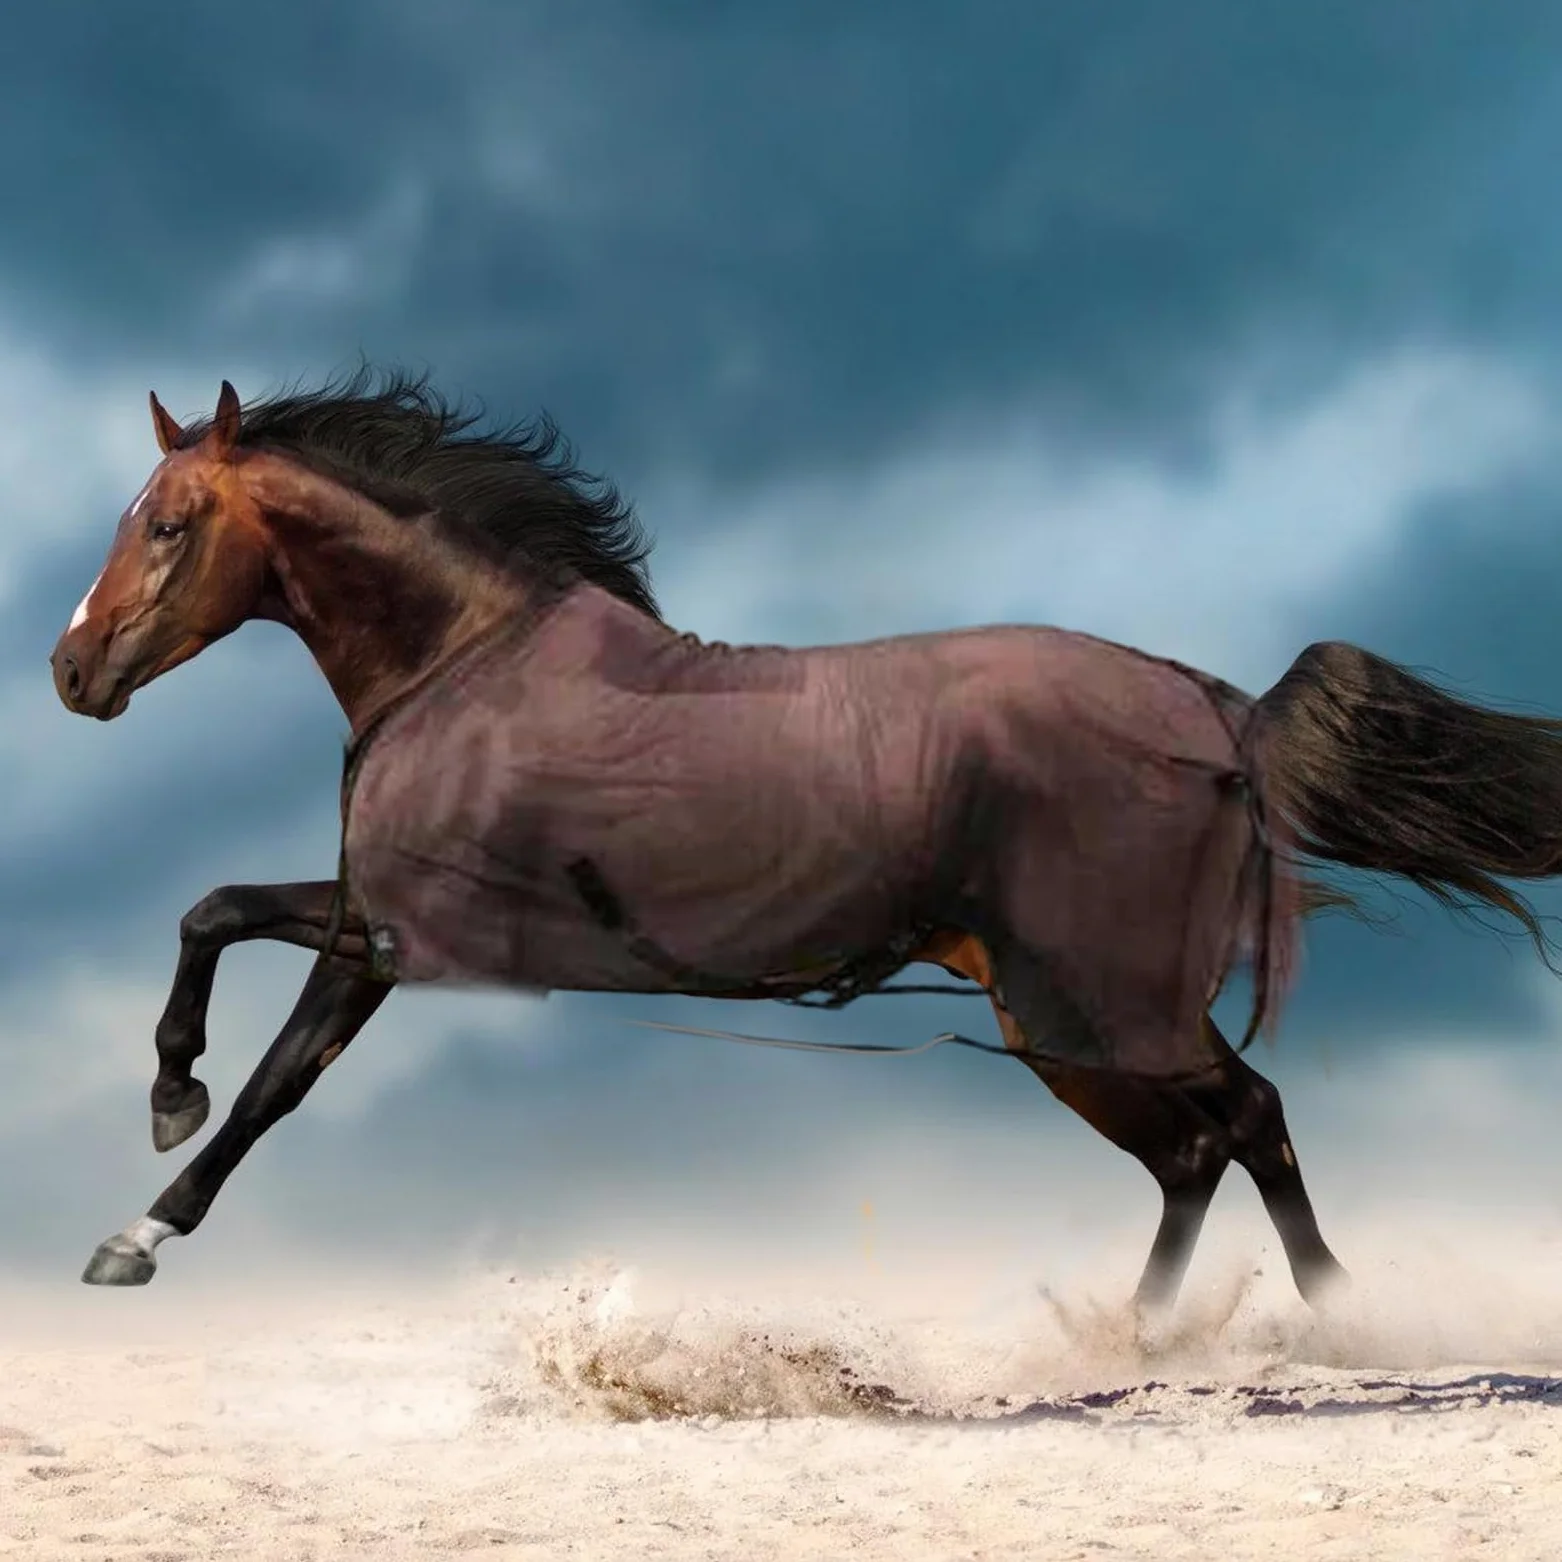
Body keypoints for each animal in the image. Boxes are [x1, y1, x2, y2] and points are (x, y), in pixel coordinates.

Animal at [49, 371, 1562, 1304]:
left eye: (168, 523)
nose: (72, 673)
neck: (464, 660)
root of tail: (1211, 706)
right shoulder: (372, 911)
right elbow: (214, 908)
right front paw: (168, 1088)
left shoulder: (390, 935)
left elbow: (271, 1080)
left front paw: (137, 1225)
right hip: (1050, 1022)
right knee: (1197, 1150)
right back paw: (1144, 1337)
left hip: (1097, 1006)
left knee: (1244, 1117)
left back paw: (1323, 1321)